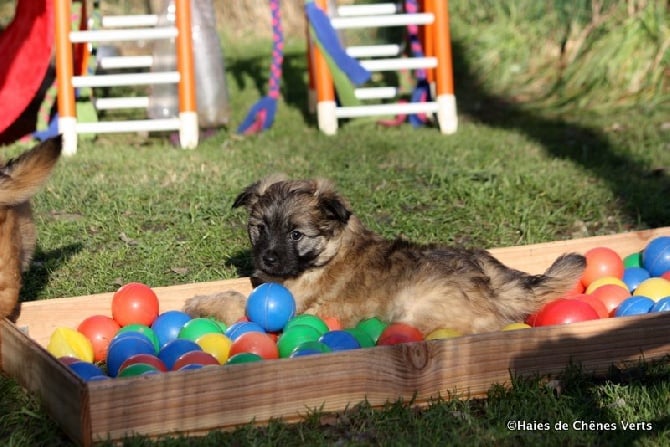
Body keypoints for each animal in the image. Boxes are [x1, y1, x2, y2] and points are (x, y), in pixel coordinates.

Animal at [185, 176, 588, 336]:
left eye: (296, 234)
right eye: (259, 229)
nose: (268, 259)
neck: (328, 252)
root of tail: (489, 287)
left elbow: (236, 298)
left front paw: (198, 303)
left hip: (416, 311)